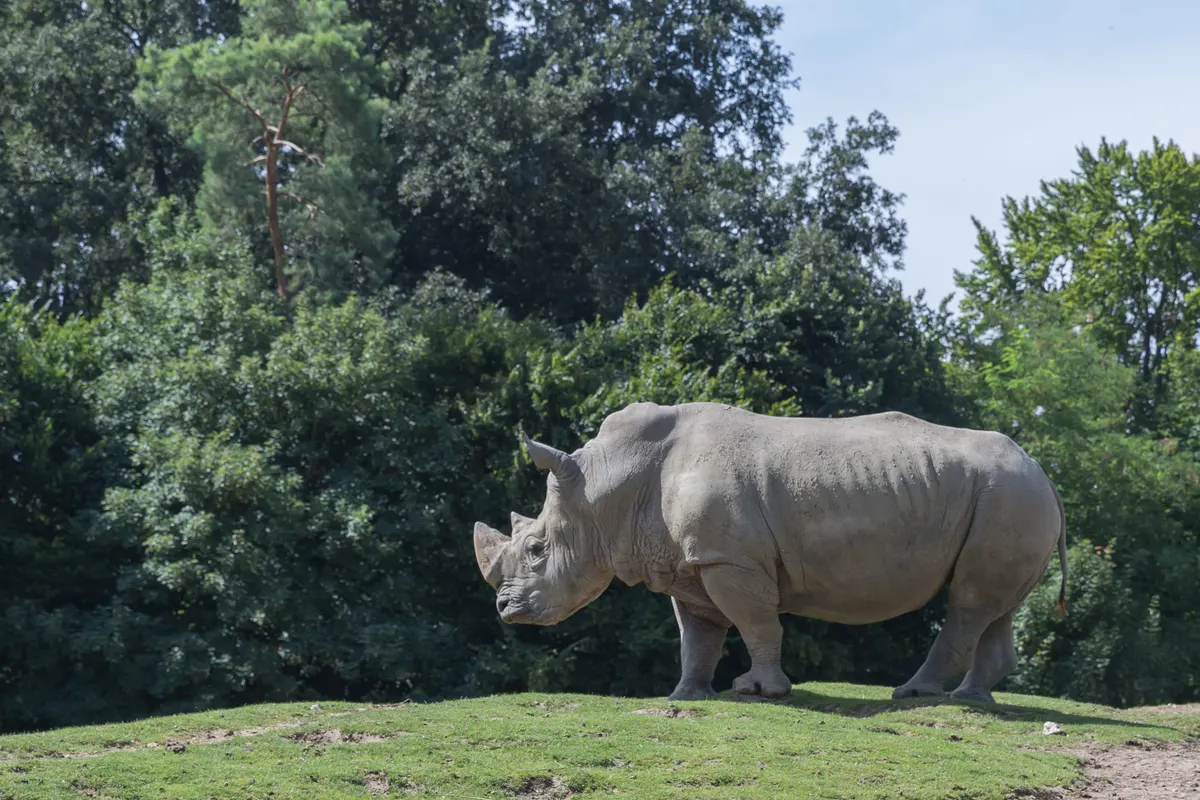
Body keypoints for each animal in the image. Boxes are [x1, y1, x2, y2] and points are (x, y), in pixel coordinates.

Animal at [472, 401, 1068, 704]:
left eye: (537, 549)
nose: (505, 611)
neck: (608, 486)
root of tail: (1045, 473)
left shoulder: (728, 557)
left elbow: (754, 620)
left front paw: (759, 691)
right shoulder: (690, 560)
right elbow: (698, 633)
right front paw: (685, 696)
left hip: (1010, 495)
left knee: (969, 600)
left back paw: (915, 695)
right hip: (1010, 500)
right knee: (992, 604)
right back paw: (970, 701)